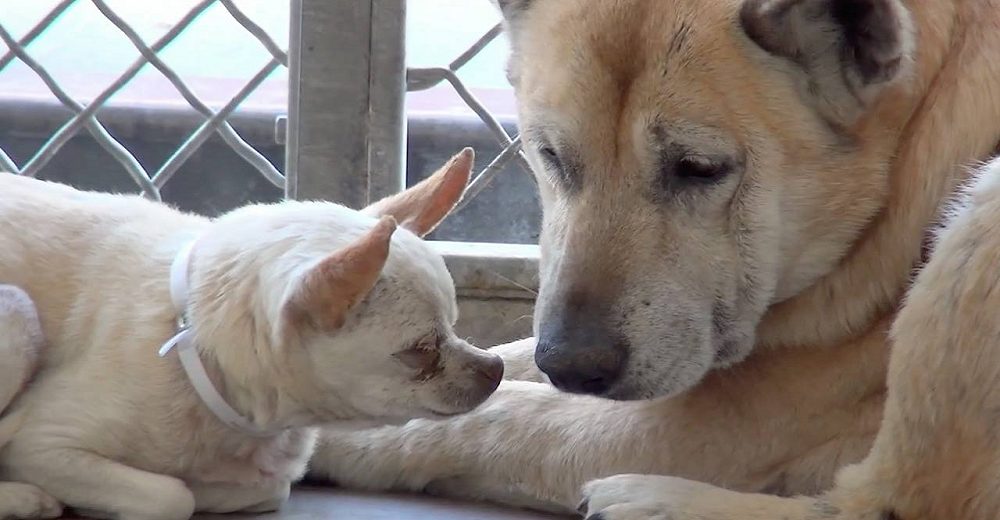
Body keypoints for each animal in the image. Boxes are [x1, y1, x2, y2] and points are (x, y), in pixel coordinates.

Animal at [0, 148, 504, 516]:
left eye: (455, 326)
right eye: (420, 352)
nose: (495, 367)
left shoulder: (267, 477)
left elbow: (255, 487)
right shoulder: (42, 446)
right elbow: (172, 496)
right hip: (17, 312)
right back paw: (23, 498)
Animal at [308, 0, 1000, 516]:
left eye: (698, 169)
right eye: (551, 156)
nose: (571, 367)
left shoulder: (700, 432)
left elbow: (499, 418)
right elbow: (503, 362)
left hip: (986, 210)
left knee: (889, 503)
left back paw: (653, 502)